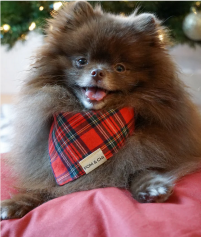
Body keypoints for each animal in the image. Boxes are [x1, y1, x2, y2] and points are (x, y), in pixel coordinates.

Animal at [1, 1, 201, 220]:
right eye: (82, 61)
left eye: (120, 68)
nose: (97, 72)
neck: (94, 118)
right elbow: (45, 187)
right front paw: (17, 202)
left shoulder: (160, 149)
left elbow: (141, 167)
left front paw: (150, 187)